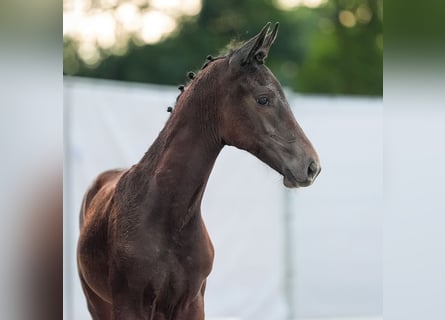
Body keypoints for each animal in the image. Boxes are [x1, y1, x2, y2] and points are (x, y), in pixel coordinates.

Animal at [76, 23, 320, 320]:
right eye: (264, 99)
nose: (312, 165)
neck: (169, 216)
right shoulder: (129, 305)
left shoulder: (192, 303)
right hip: (98, 304)